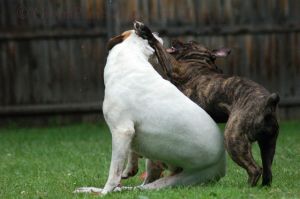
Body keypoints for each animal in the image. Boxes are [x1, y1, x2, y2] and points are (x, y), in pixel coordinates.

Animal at [74, 21, 225, 194]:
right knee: (141, 184)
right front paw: (130, 169)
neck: (131, 56)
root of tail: (222, 165)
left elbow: (114, 173)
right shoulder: (130, 134)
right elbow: (131, 153)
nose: (157, 32)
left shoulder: (121, 131)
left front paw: (106, 192)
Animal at [135, 22, 280, 187]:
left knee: (255, 169)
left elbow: (159, 47)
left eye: (190, 42)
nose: (175, 40)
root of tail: (268, 103)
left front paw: (145, 31)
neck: (200, 61)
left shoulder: (173, 67)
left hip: (234, 138)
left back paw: (247, 187)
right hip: (268, 144)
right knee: (268, 171)